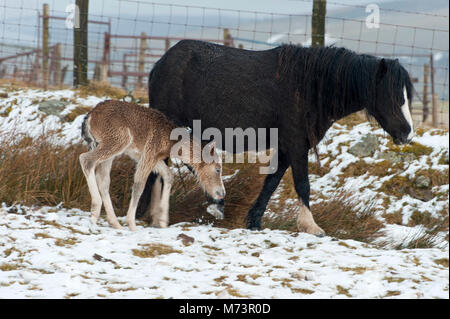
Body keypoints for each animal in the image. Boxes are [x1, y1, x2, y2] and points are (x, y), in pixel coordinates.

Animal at [135, 39, 414, 235]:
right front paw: (311, 226)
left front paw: (254, 220)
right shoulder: (296, 144)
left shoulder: (287, 147)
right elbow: (303, 184)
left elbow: (271, 182)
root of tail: (160, 63)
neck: (312, 86)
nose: (407, 134)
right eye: (391, 96)